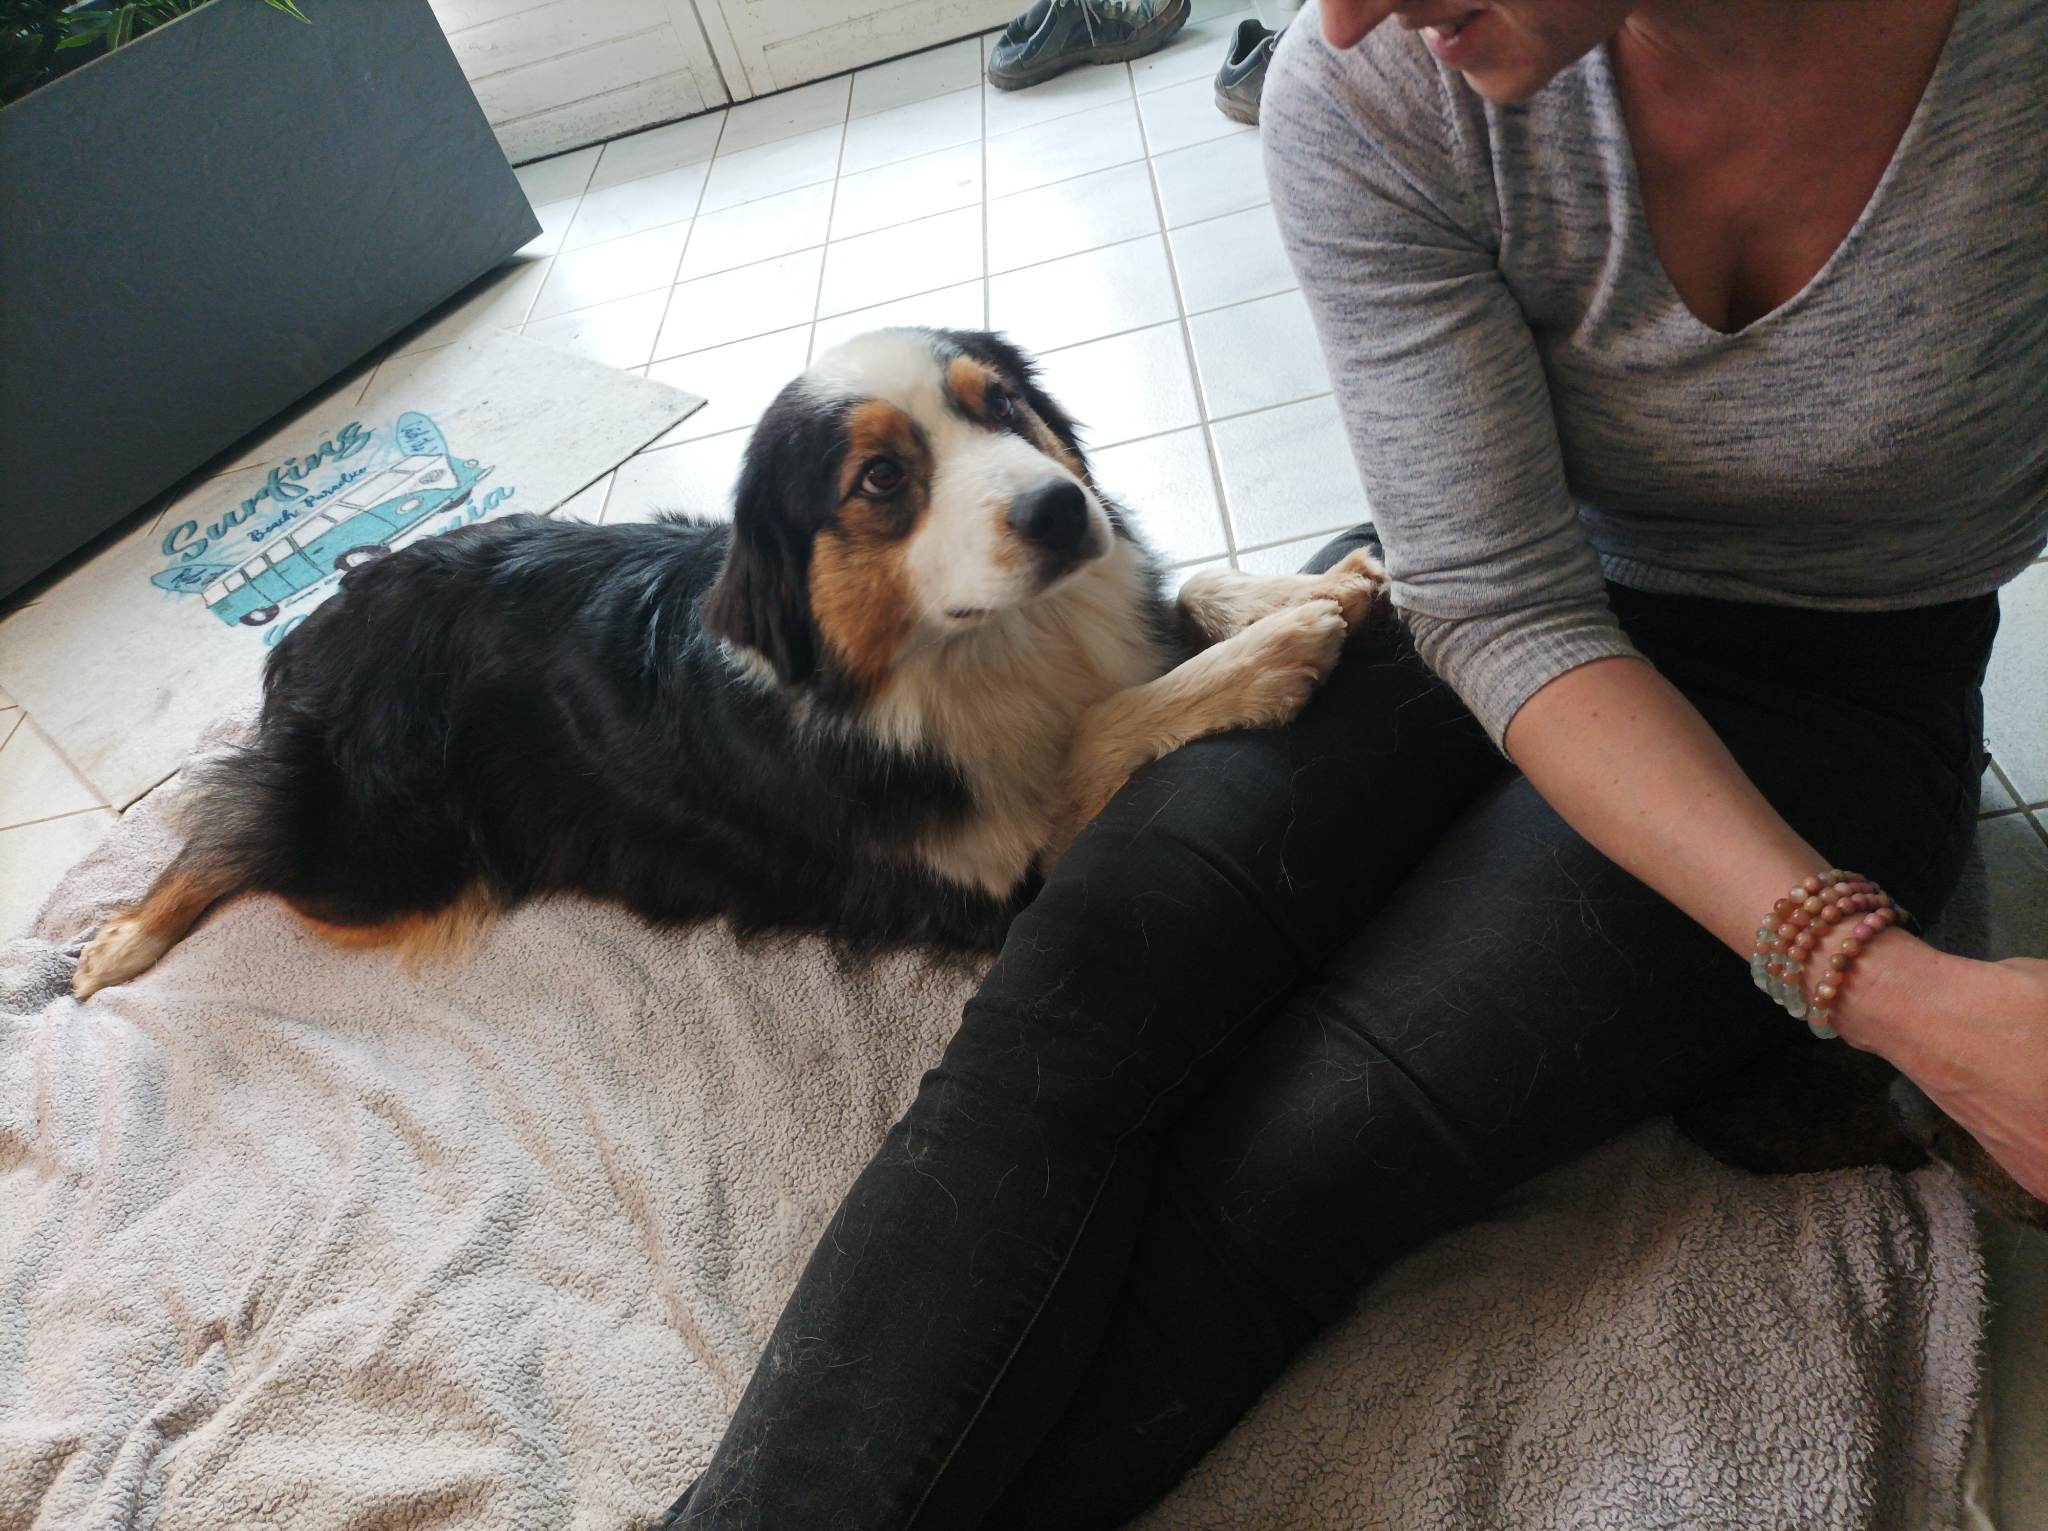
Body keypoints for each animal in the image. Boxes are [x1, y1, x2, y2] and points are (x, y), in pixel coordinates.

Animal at [72, 327, 1384, 998]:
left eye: (1004, 405)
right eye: (880, 479)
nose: (1065, 510)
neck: (968, 650)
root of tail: (323, 612)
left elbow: (1181, 597)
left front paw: (1310, 586)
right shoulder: (981, 879)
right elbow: (1091, 741)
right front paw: (1275, 652)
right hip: (391, 852)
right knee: (234, 826)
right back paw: (114, 945)